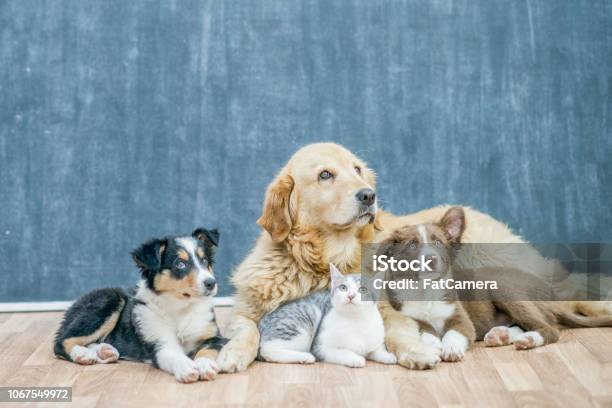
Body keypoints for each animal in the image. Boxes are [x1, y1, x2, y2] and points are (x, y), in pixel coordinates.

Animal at [54, 228, 227, 384]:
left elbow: (206, 350)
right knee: (61, 341)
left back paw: (105, 351)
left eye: (204, 261)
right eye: (180, 264)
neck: (181, 306)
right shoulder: (159, 344)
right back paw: (82, 354)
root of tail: (74, 304)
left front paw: (204, 365)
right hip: (109, 300)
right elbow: (174, 356)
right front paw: (187, 368)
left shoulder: (215, 337)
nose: (211, 283)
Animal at [255, 262, 394, 368]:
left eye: (363, 289)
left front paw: (388, 356)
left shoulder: (375, 339)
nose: (350, 296)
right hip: (302, 321)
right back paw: (304, 357)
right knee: (267, 349)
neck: (355, 320)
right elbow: (342, 352)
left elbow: (377, 349)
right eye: (343, 287)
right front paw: (355, 358)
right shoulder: (320, 348)